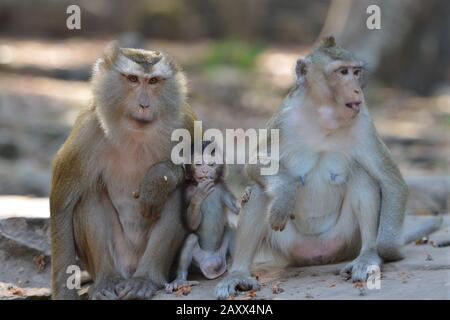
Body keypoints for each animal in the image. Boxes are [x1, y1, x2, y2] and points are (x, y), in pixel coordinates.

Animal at [50, 45, 196, 300]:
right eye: (132, 79)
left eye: (153, 81)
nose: (144, 105)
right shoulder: (86, 133)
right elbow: (62, 206)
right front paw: (65, 293)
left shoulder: (184, 122)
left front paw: (157, 181)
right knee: (88, 195)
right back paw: (106, 281)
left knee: (179, 192)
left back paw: (145, 279)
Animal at [165, 141, 241, 292]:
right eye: (199, 164)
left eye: (211, 164)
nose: (205, 171)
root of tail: (213, 265)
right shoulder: (187, 192)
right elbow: (190, 223)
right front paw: (200, 195)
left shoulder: (222, 185)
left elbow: (234, 208)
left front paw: (244, 200)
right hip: (198, 260)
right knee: (191, 239)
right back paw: (181, 279)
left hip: (222, 253)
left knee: (231, 230)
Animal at [215, 37, 442, 300]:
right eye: (342, 72)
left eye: (356, 72)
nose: (357, 90)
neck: (324, 116)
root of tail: (316, 255)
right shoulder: (284, 119)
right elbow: (255, 165)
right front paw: (285, 195)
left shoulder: (363, 121)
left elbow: (391, 181)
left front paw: (388, 250)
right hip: (287, 246)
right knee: (260, 191)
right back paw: (238, 273)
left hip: (344, 240)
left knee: (361, 175)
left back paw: (367, 255)